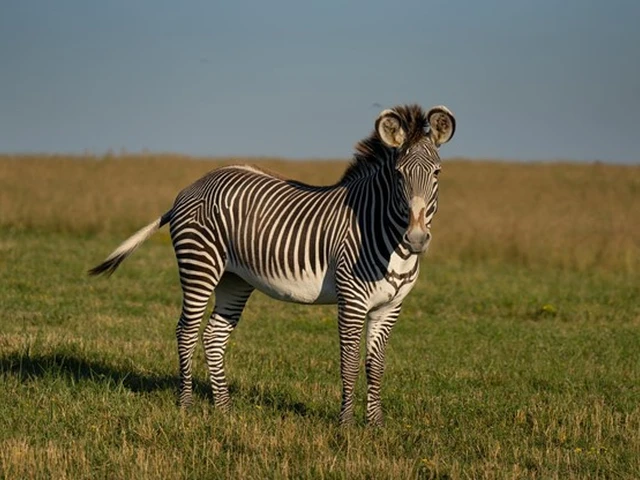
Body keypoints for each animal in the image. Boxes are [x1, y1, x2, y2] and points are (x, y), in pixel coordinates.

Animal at [89, 104, 456, 425]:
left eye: (437, 173)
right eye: (398, 175)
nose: (417, 238)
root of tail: (193, 186)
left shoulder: (390, 307)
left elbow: (376, 366)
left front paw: (376, 425)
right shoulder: (352, 300)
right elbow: (350, 363)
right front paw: (347, 425)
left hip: (234, 278)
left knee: (213, 336)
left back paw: (224, 409)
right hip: (199, 266)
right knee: (186, 331)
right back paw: (186, 404)